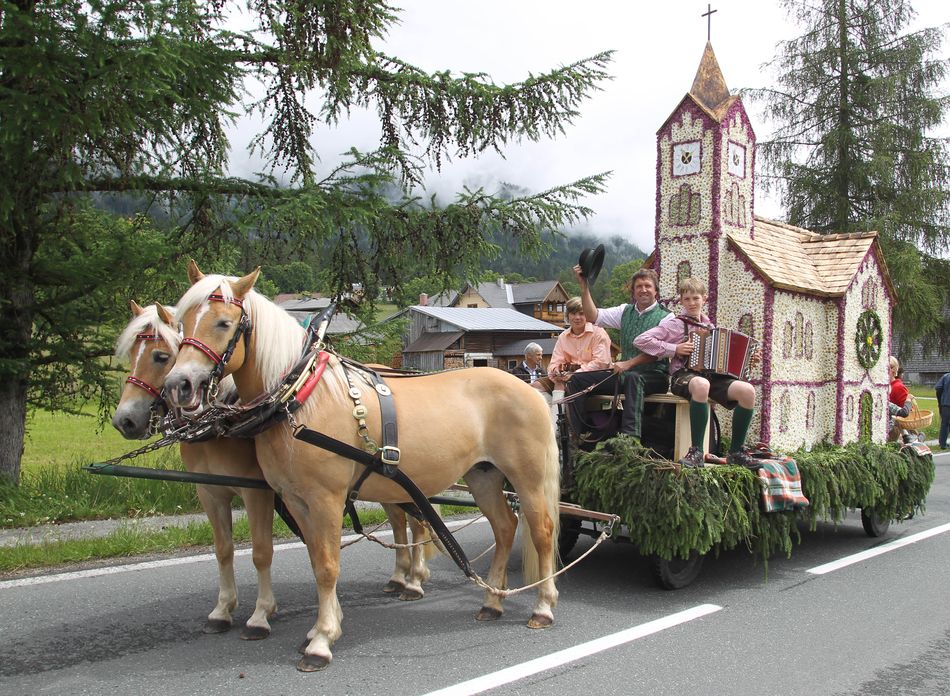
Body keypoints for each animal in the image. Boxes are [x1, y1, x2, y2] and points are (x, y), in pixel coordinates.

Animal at [111, 302, 438, 640]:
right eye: (131, 352)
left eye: (160, 356)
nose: (125, 420)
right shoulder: (210, 492)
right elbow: (224, 549)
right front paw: (223, 609)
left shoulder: (258, 493)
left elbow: (262, 551)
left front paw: (261, 614)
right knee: (399, 519)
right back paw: (399, 576)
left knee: (417, 521)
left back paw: (414, 580)